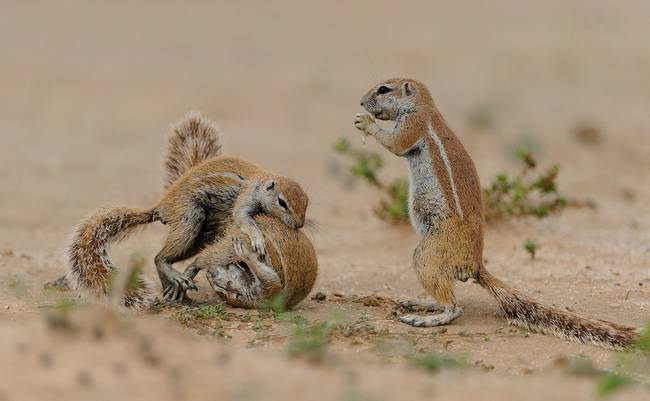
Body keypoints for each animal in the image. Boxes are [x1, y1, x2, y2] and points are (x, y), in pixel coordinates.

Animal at [182, 214, 316, 308]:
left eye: (222, 286)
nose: (210, 273)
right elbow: (272, 280)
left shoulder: (267, 294)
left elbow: (273, 281)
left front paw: (247, 256)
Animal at [352, 77, 636, 346]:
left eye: (383, 89)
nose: (361, 102)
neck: (424, 106)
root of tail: (475, 266)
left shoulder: (414, 124)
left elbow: (395, 144)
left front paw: (365, 123)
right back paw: (423, 303)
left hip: (428, 255)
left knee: (454, 307)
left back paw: (426, 318)